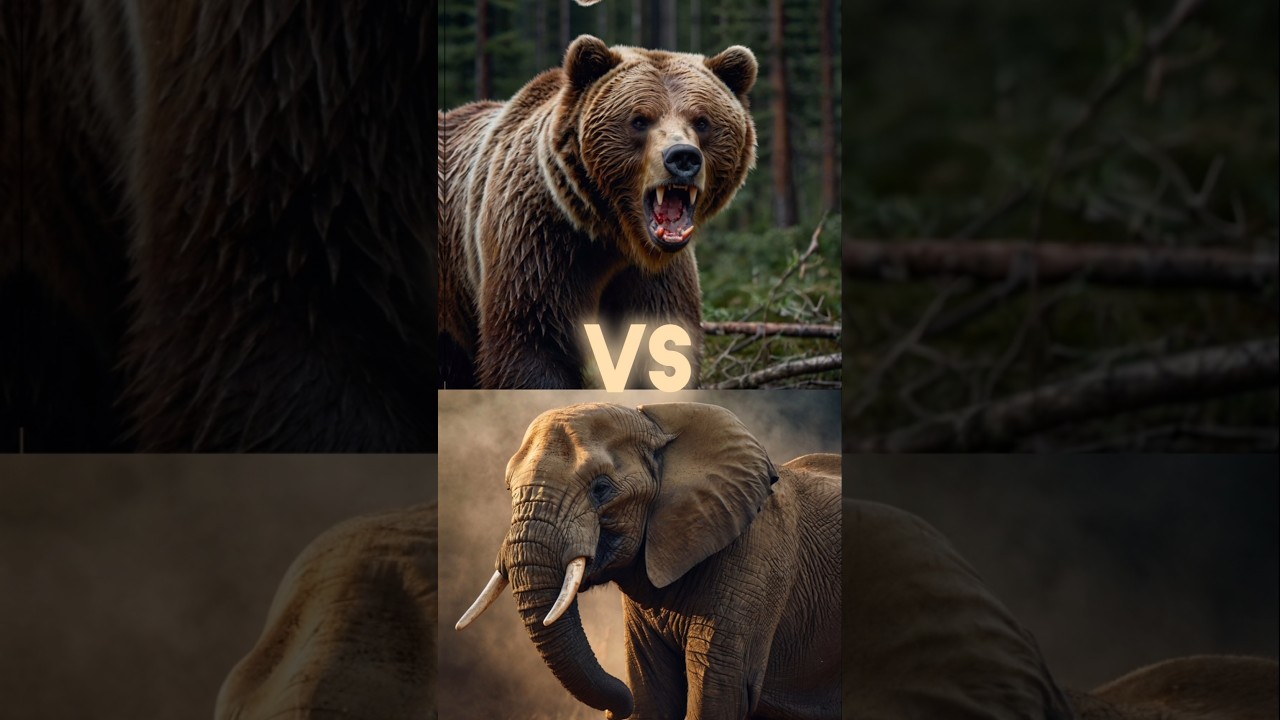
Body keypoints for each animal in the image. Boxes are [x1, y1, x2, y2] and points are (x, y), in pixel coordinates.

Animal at [438, 35, 758, 389]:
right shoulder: (539, 242)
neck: (614, 233)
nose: (683, 157)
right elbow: (531, 344)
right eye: (639, 119)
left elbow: (660, 350)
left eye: (702, 121)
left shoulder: (654, 276)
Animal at [455, 402, 842, 720]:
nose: (615, 709)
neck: (659, 426)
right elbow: (651, 691)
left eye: (601, 488)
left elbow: (719, 694)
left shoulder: (756, 563)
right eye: (509, 489)